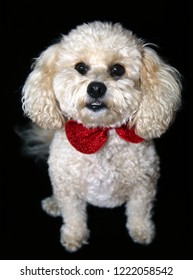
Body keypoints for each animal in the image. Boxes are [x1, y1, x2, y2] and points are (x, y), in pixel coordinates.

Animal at [20, 20, 182, 253]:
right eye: (80, 67)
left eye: (117, 69)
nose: (96, 88)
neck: (100, 133)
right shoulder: (68, 189)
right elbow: (74, 216)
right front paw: (73, 237)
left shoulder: (144, 185)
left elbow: (139, 212)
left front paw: (142, 232)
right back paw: (53, 203)